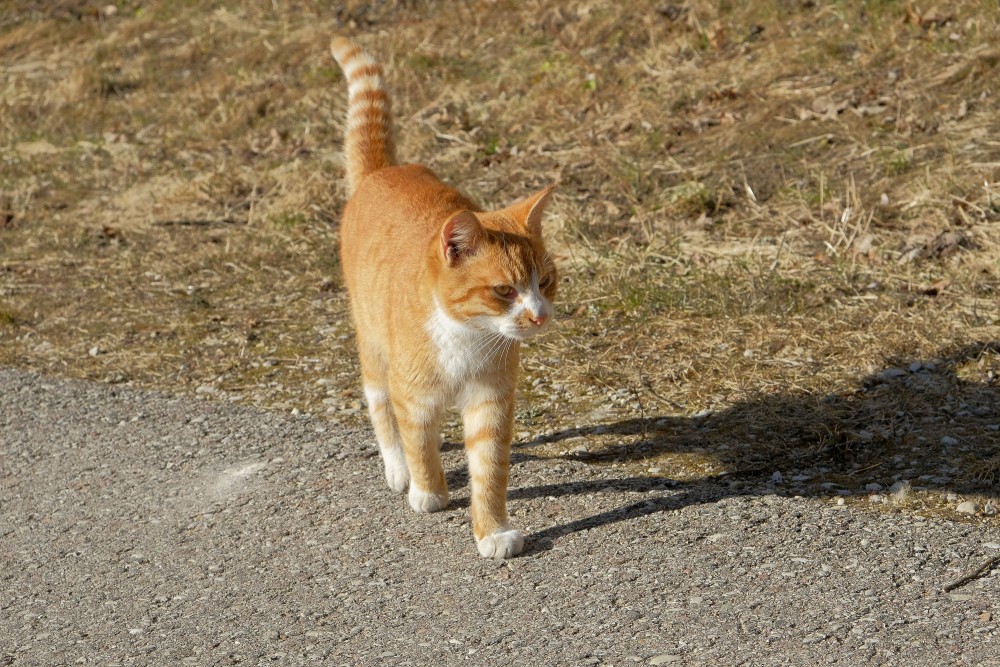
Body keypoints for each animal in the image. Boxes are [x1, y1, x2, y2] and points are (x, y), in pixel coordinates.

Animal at [332, 36, 560, 560]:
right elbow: (419, 442)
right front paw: (428, 491)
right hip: (372, 343)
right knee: (379, 404)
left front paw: (491, 530)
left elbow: (490, 471)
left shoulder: (491, 402)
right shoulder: (413, 396)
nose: (539, 316)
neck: (467, 337)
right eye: (504, 290)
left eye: (545, 282)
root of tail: (384, 171)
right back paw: (397, 469)